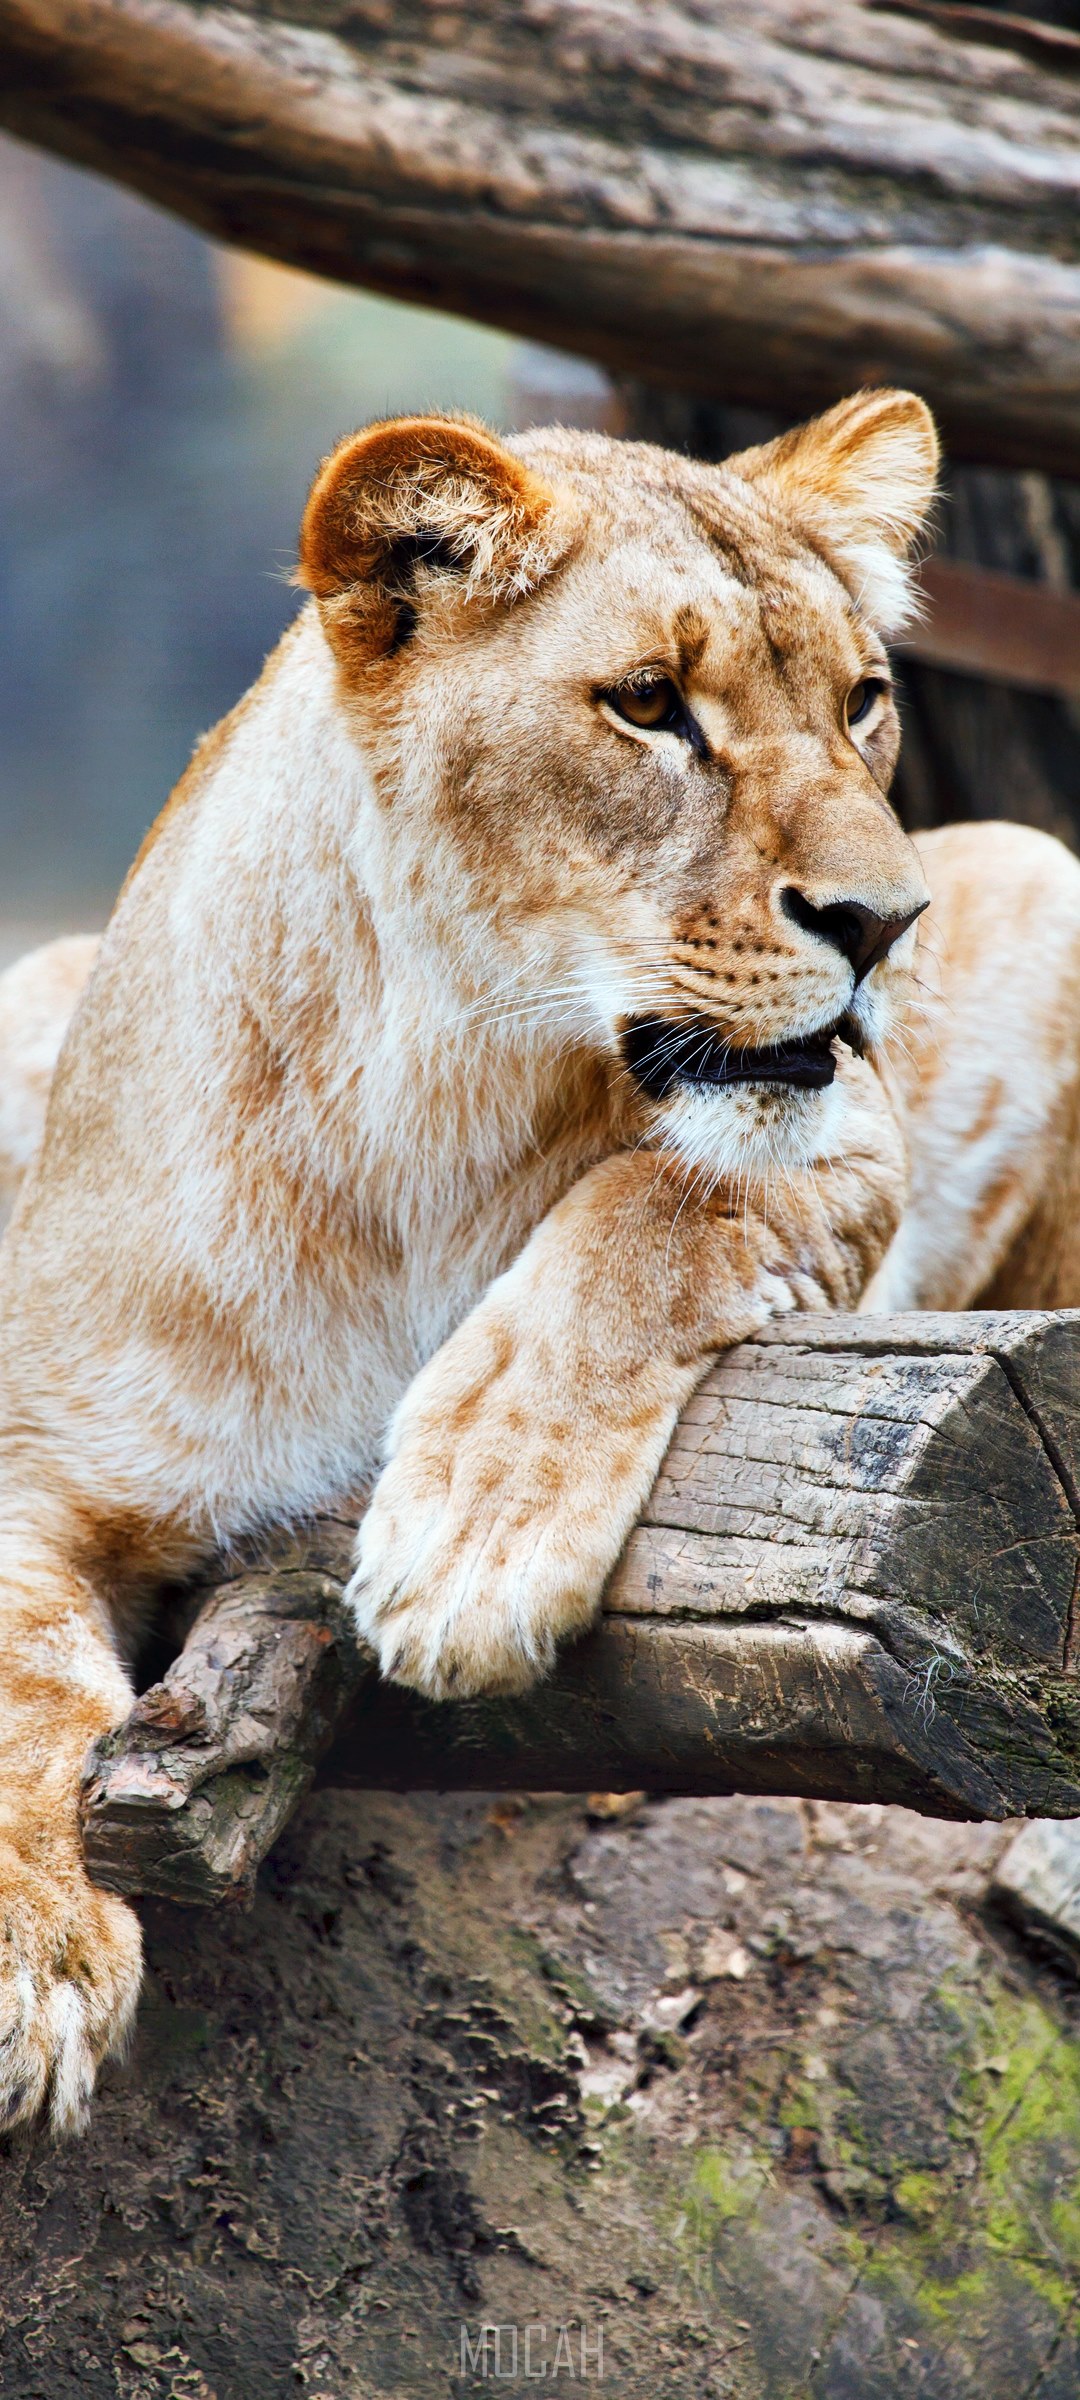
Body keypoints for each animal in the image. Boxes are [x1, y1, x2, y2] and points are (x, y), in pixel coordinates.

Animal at [3, 388, 1080, 2139]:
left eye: (862, 703)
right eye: (649, 705)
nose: (886, 923)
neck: (424, 1109)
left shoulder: (851, 1146)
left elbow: (651, 1208)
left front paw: (470, 1546)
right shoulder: (40, 1432)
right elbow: (19, 1667)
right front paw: (34, 1951)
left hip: (1047, 877)